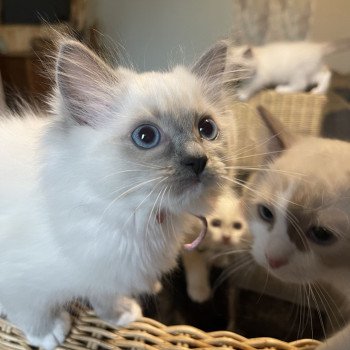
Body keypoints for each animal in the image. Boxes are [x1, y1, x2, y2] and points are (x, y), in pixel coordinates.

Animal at [0, 39, 237, 348]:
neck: (138, 216)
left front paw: (121, 314)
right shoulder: (16, 280)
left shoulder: (106, 272)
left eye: (206, 128)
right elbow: (30, 310)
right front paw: (49, 333)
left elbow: (104, 296)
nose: (198, 160)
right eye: (146, 136)